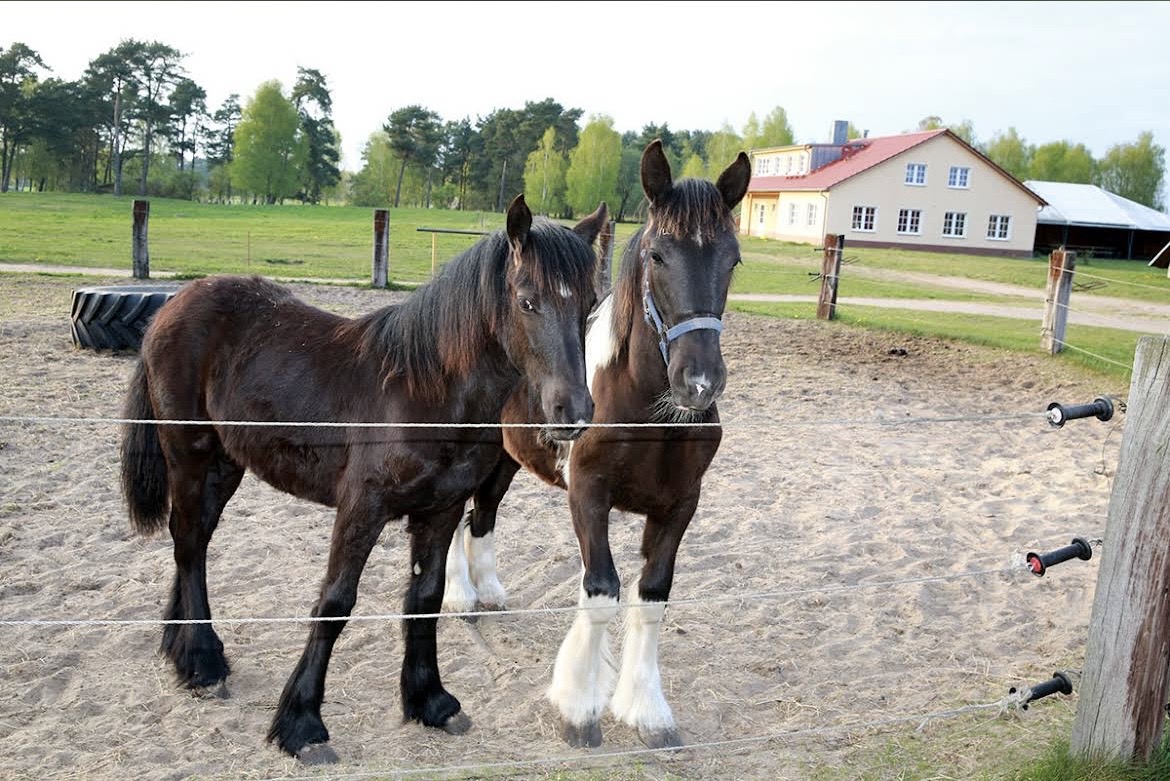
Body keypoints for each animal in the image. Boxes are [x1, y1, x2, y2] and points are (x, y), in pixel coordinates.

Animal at [118, 194, 608, 763]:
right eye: (528, 302)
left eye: (590, 304)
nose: (573, 411)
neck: (428, 393)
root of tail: (174, 304)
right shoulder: (361, 509)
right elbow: (335, 603)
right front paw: (302, 725)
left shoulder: (440, 511)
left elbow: (425, 599)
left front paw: (430, 701)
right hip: (189, 454)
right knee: (188, 541)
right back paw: (202, 661)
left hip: (224, 464)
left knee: (193, 542)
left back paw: (184, 650)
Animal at [444, 140, 751, 749]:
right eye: (657, 255)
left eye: (732, 260)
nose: (699, 382)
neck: (648, 414)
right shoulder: (587, 494)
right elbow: (602, 590)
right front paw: (579, 707)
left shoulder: (681, 505)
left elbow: (652, 595)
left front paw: (647, 710)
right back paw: (461, 597)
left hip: (506, 459)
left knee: (481, 515)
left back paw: (487, 591)